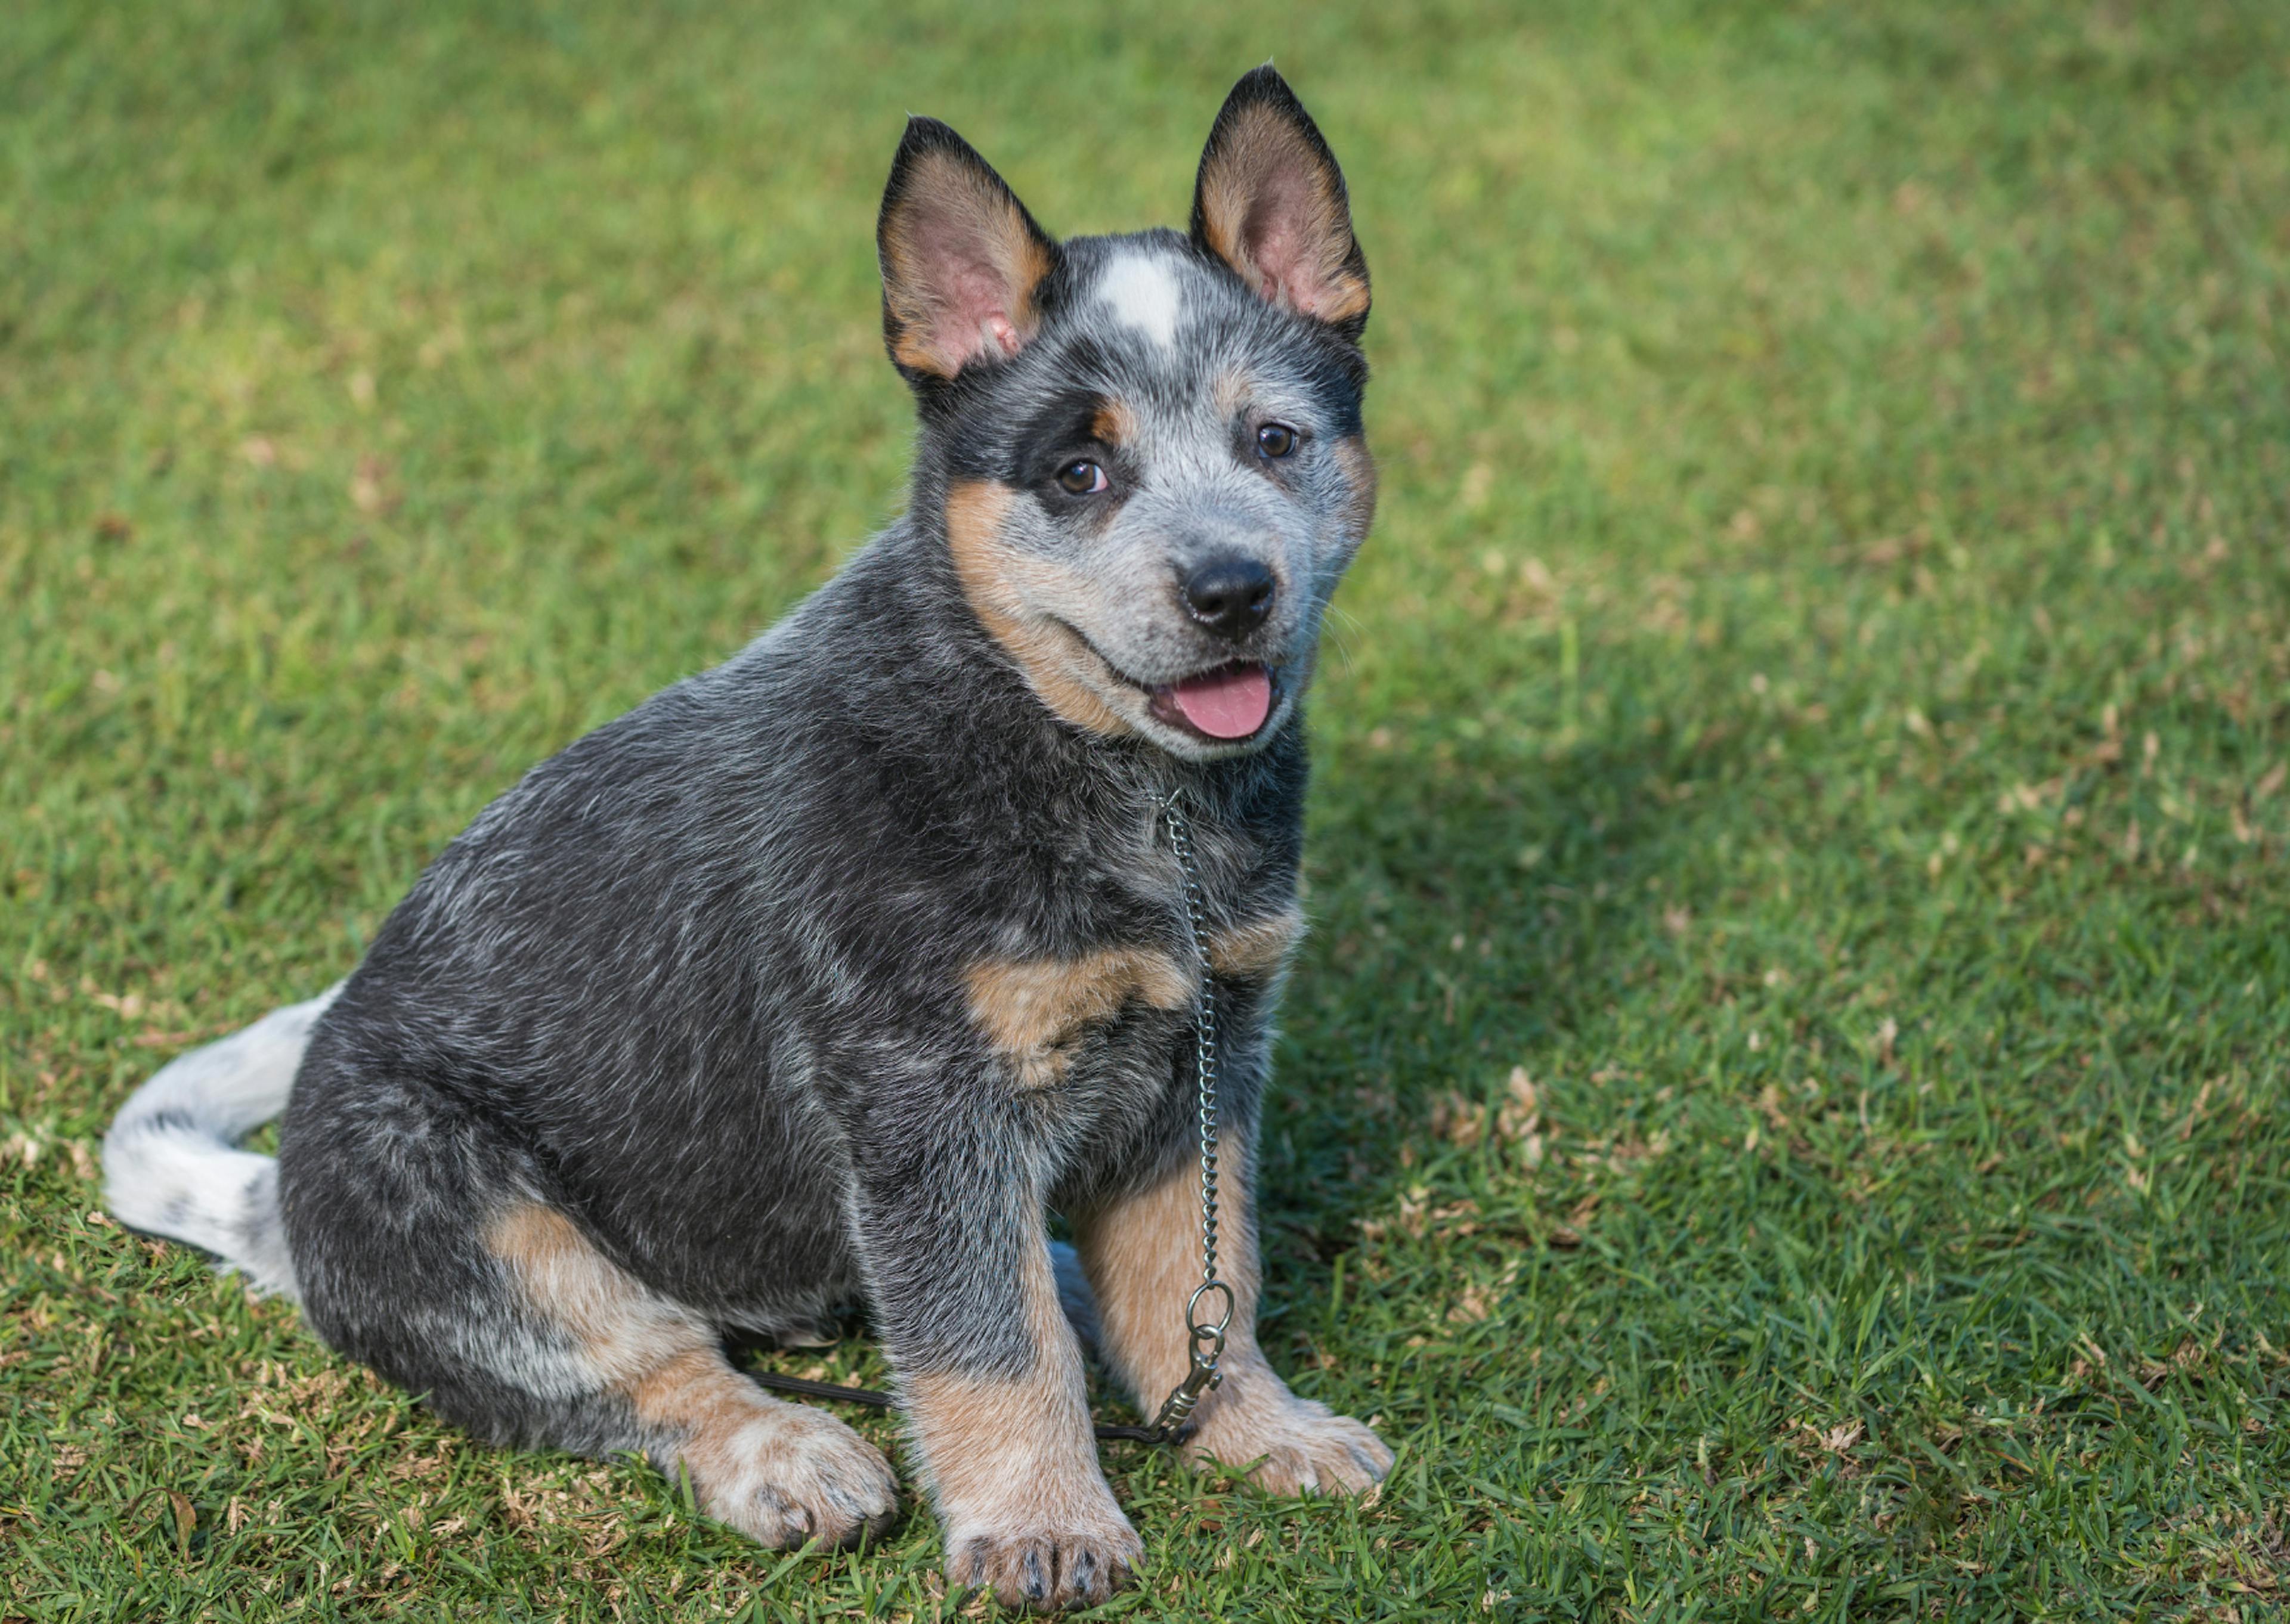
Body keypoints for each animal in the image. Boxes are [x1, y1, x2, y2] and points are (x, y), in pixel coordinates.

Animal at [103, 66, 1392, 1612]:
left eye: (1274, 440)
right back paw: (789, 1456)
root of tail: (279, 1215)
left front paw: (1257, 1427)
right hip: (459, 1194)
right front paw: (1041, 1527)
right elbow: (987, 1345)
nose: (1230, 588)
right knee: (645, 1359)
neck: (1126, 798)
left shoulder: (1209, 1049)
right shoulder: (926, 1101)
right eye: (1079, 474)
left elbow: (1203, 1278)